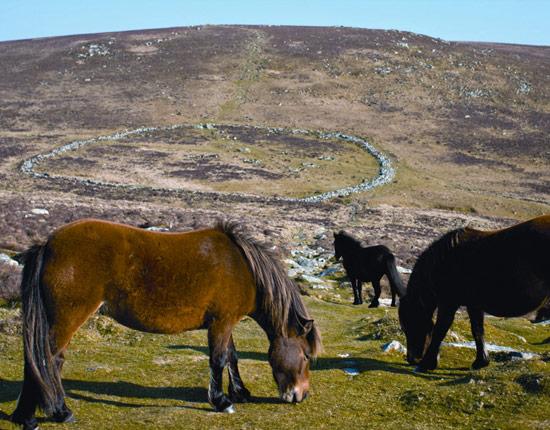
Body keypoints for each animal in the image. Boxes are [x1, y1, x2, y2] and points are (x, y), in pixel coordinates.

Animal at [10, 220, 322, 428]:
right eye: (307, 356)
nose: (302, 395)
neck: (243, 267)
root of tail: (47, 244)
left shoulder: (226, 323)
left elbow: (232, 357)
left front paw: (240, 392)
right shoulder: (221, 322)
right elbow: (219, 359)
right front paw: (221, 401)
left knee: (44, 360)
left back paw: (35, 414)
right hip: (67, 318)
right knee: (46, 359)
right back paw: (50, 413)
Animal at [402, 217, 550, 372]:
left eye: (410, 322)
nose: (411, 359)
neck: (443, 261)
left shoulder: (448, 303)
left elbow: (440, 329)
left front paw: (426, 364)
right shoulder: (474, 305)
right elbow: (477, 330)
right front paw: (481, 361)